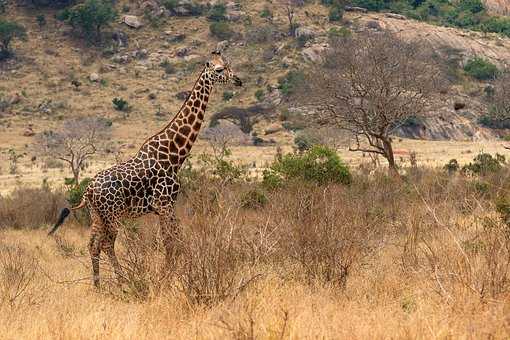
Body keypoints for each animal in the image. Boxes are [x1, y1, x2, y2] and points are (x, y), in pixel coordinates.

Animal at [48, 51, 244, 288]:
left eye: (228, 65)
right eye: (219, 70)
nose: (238, 80)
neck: (174, 154)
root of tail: (88, 191)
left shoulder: (166, 206)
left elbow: (176, 240)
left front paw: (176, 274)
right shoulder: (165, 204)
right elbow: (171, 242)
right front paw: (169, 277)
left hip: (96, 215)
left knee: (93, 245)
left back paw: (98, 285)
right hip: (112, 215)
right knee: (107, 244)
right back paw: (123, 281)